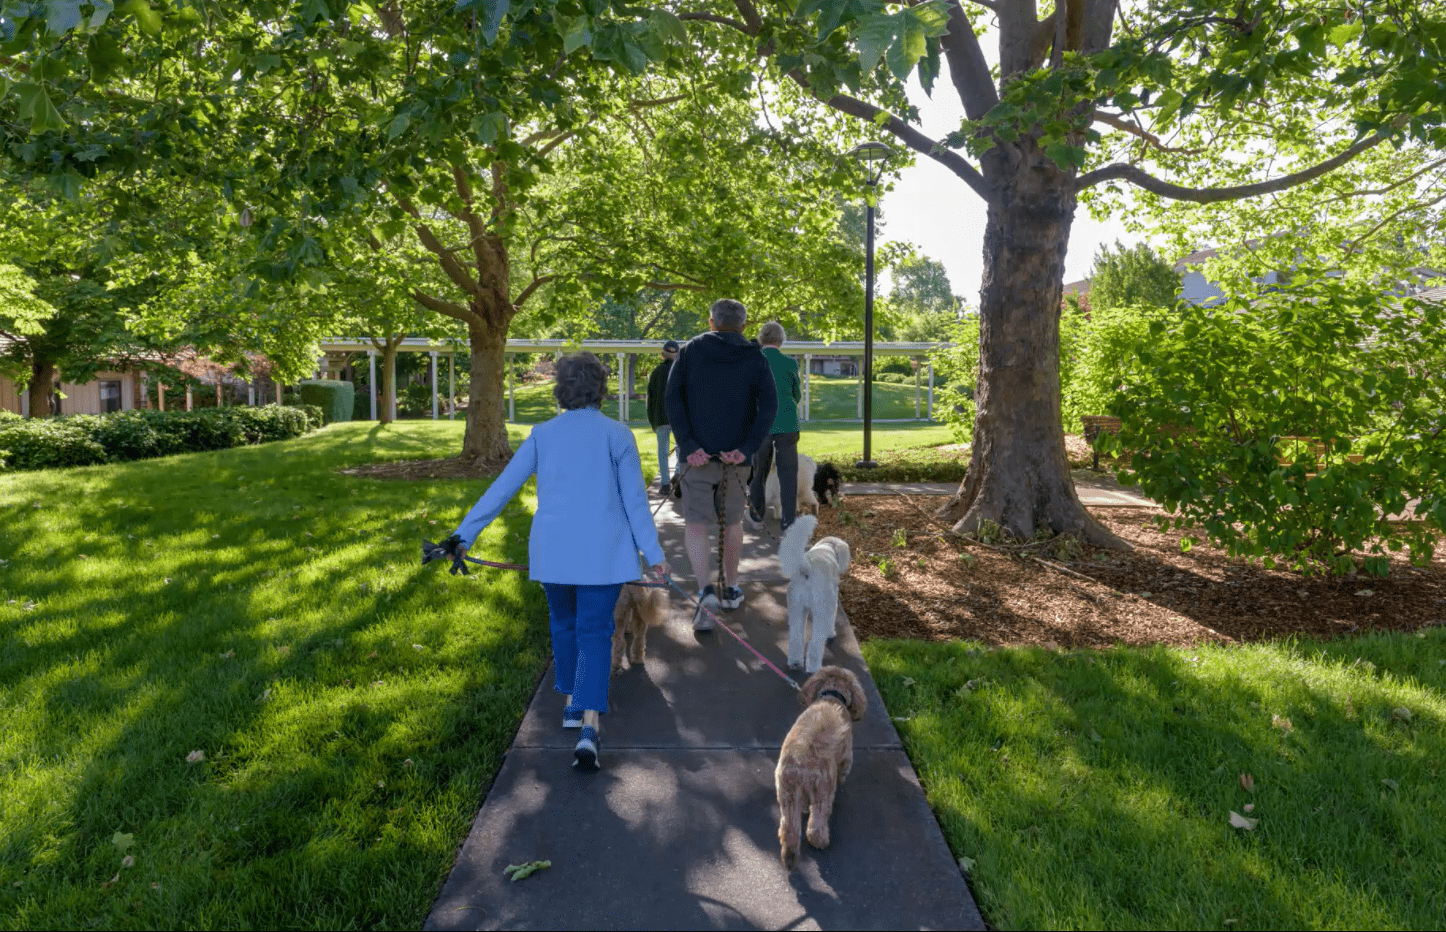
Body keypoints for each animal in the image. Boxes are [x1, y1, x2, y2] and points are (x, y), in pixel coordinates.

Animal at [775, 661, 861, 866]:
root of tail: (801, 762)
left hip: (787, 794)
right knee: (816, 825)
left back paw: (788, 856)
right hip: (823, 790)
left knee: (788, 828)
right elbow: (845, 768)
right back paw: (821, 842)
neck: (832, 696)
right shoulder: (847, 754)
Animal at [780, 511, 844, 673]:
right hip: (820, 610)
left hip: (796, 608)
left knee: (795, 639)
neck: (827, 547)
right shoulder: (831, 603)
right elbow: (832, 619)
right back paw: (814, 667)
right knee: (815, 643)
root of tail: (806, 569)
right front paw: (831, 633)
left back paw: (795, 661)